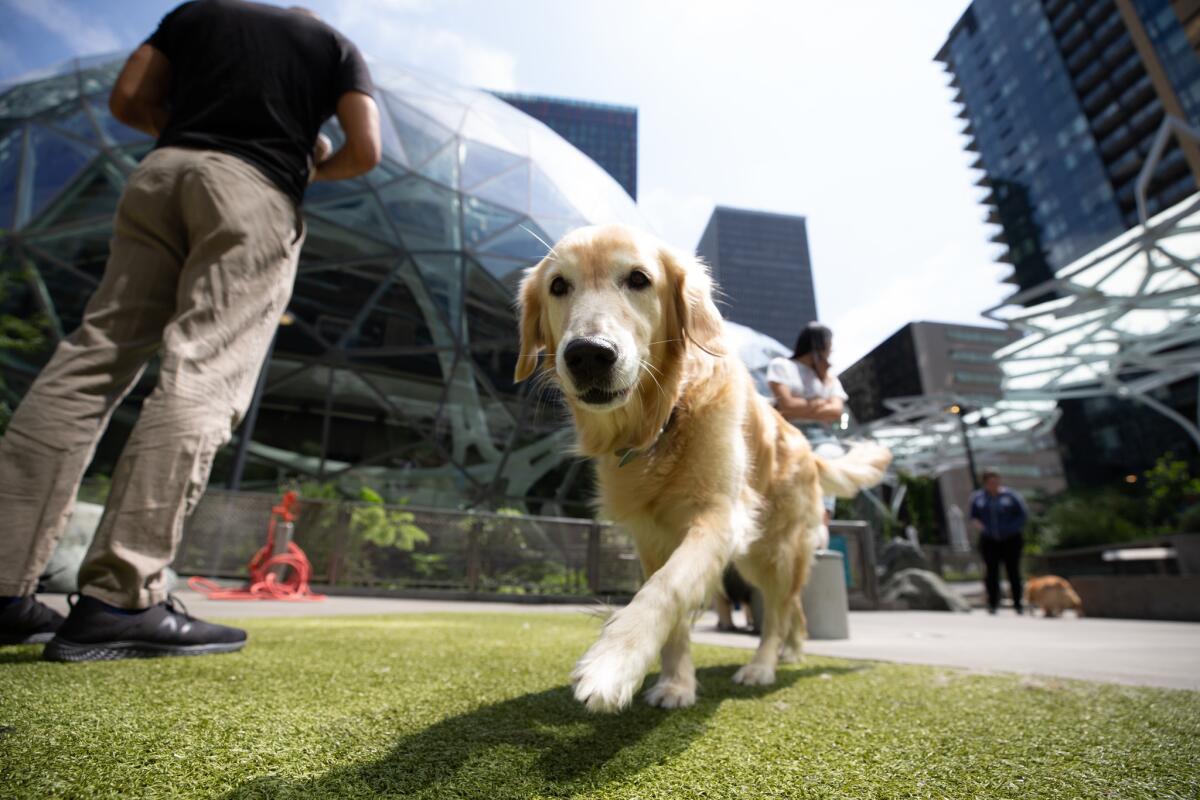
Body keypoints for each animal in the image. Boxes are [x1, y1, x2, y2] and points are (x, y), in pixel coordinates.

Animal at [513, 221, 892, 710]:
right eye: (558, 286)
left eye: (638, 279)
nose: (589, 354)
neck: (663, 419)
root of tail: (806, 449)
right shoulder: (650, 536)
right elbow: (671, 605)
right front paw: (676, 683)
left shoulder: (719, 515)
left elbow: (668, 586)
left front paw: (614, 661)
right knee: (792, 608)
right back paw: (792, 651)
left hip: (775, 552)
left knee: (779, 609)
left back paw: (763, 665)